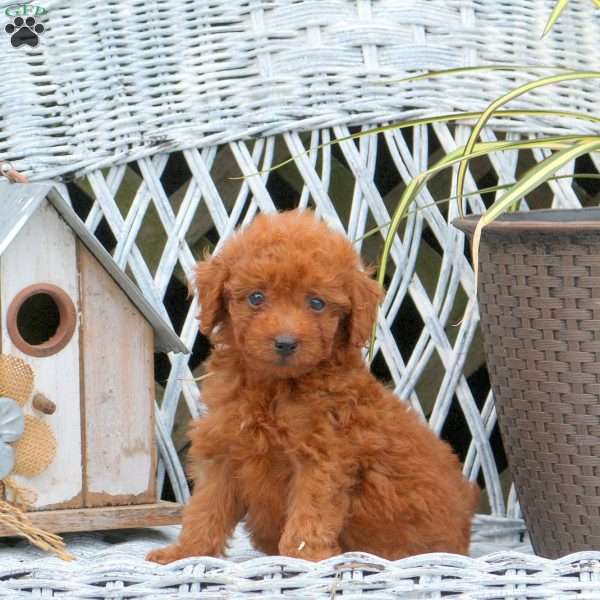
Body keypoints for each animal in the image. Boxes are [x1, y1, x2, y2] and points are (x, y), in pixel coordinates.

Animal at [148, 207, 480, 564]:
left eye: (317, 303)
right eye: (256, 297)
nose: (285, 342)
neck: (274, 389)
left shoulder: (323, 457)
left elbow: (311, 515)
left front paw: (306, 558)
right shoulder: (224, 448)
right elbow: (205, 508)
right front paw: (184, 553)